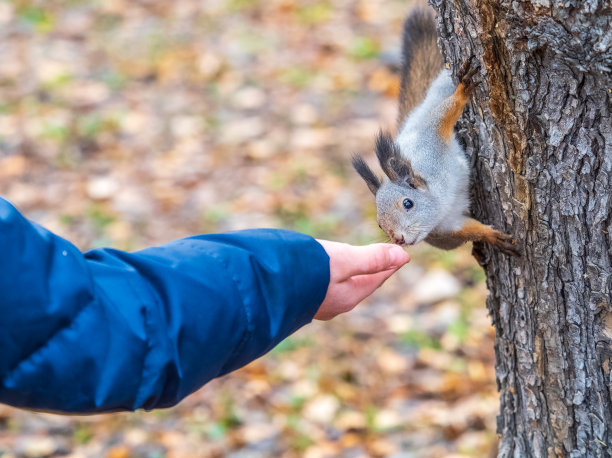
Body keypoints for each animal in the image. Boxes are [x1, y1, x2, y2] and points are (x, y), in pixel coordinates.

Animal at [352, 8, 520, 254]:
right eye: (380, 224)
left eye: (408, 203)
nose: (398, 239)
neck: (441, 201)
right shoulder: (447, 226)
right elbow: (469, 230)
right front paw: (492, 236)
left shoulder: (430, 137)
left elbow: (445, 115)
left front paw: (462, 92)